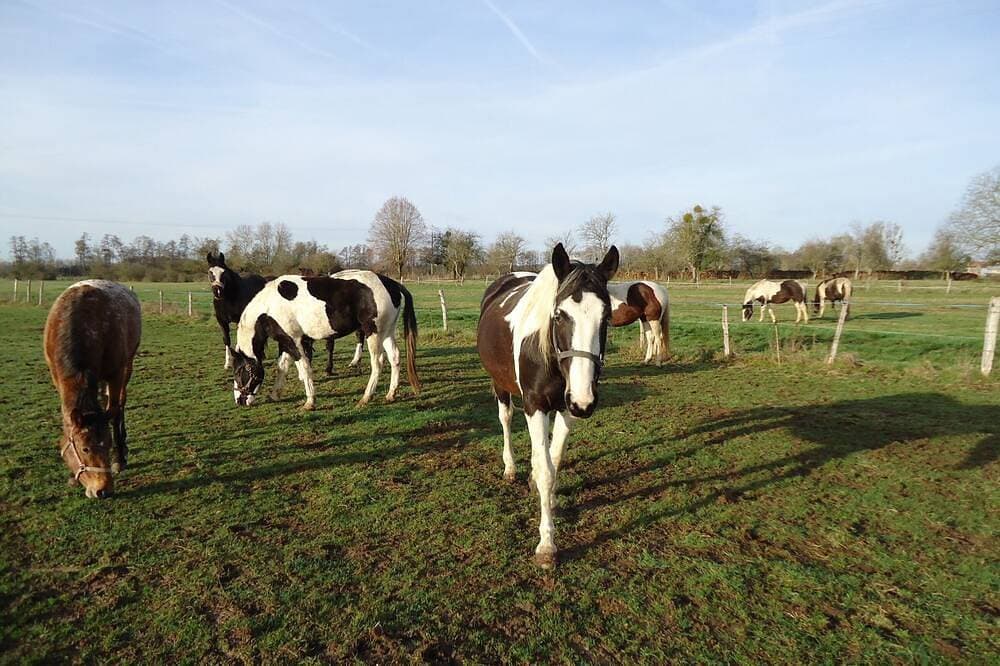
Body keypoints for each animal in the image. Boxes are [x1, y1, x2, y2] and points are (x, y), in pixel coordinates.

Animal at [43, 280, 141, 498]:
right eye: (85, 449)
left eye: (107, 444)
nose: (103, 490)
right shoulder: (58, 378)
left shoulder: (115, 373)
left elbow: (114, 412)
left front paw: (118, 459)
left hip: (127, 365)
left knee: (119, 405)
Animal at [231, 271, 419, 410]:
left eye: (239, 372)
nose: (239, 400)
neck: (269, 307)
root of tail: (391, 284)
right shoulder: (286, 341)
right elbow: (282, 366)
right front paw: (275, 394)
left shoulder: (294, 341)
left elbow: (304, 368)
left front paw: (310, 402)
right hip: (386, 332)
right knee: (395, 358)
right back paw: (391, 394)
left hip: (372, 333)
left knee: (378, 362)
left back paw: (366, 397)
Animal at [477, 243, 619, 568]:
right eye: (559, 315)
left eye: (606, 317)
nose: (585, 400)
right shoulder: (536, 405)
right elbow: (545, 469)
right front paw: (547, 544)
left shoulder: (567, 408)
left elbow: (553, 460)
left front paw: (550, 498)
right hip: (501, 385)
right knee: (506, 419)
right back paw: (511, 467)